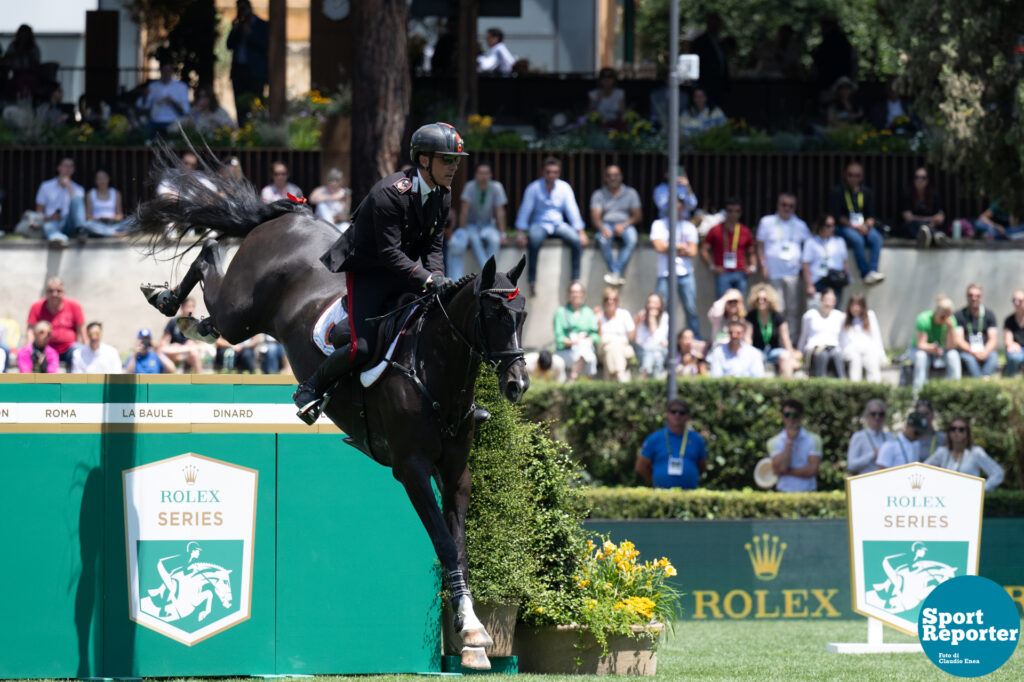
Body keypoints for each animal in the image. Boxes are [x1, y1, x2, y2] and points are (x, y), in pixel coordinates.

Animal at [130, 150, 528, 667]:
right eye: (494, 314)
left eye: (522, 315)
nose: (517, 383)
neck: (431, 366)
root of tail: (294, 215)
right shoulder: (412, 469)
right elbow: (443, 543)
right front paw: (473, 633)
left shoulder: (456, 472)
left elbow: (457, 547)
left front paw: (473, 635)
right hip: (243, 315)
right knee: (210, 257)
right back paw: (170, 302)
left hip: (243, 318)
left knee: (212, 280)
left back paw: (190, 318)